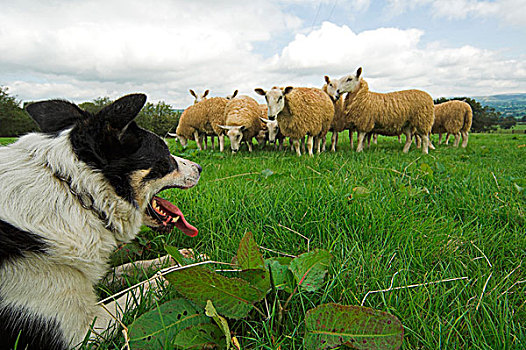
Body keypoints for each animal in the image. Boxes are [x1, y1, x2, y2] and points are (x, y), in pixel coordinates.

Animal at [0, 94, 202, 348]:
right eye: (165, 155)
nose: (200, 167)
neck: (73, 191)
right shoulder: (84, 331)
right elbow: (145, 287)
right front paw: (187, 269)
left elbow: (127, 267)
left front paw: (178, 257)